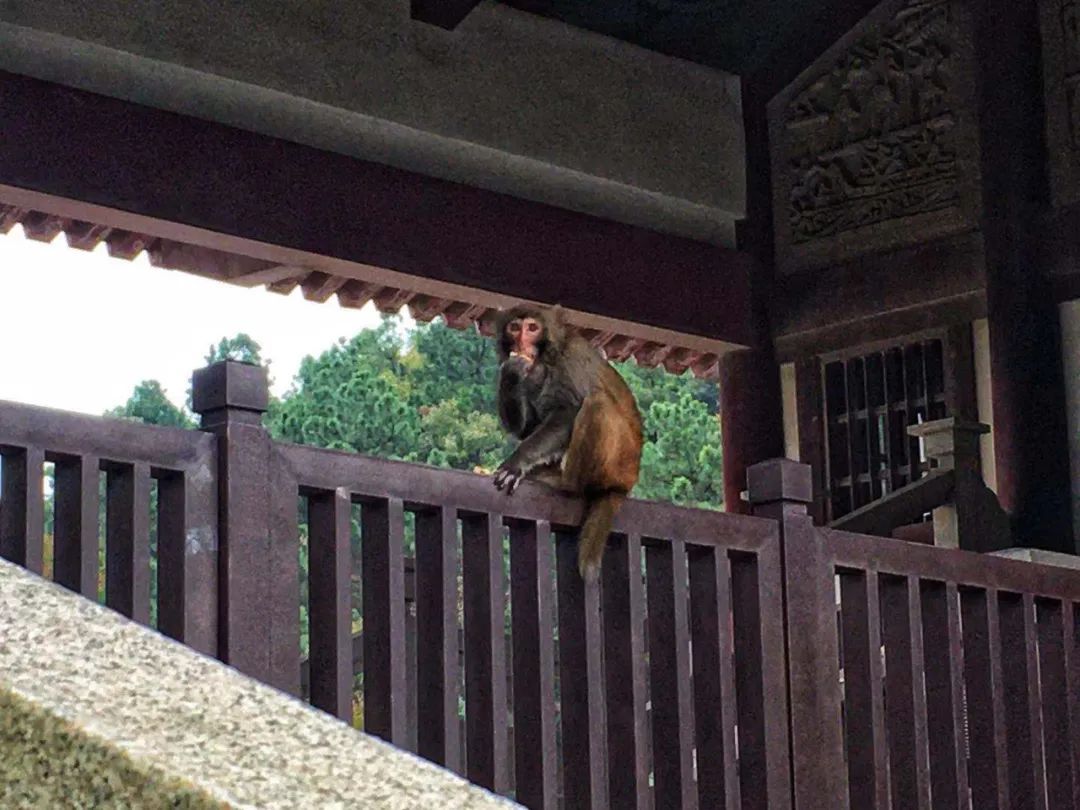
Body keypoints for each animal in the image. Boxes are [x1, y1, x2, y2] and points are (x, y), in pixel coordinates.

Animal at [492, 306, 639, 583]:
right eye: (514, 327)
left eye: (532, 328)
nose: (521, 342)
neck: (545, 358)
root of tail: (626, 483)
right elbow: (528, 428)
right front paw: (511, 374)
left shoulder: (569, 359)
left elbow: (566, 412)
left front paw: (516, 463)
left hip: (618, 463)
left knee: (597, 404)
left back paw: (567, 483)